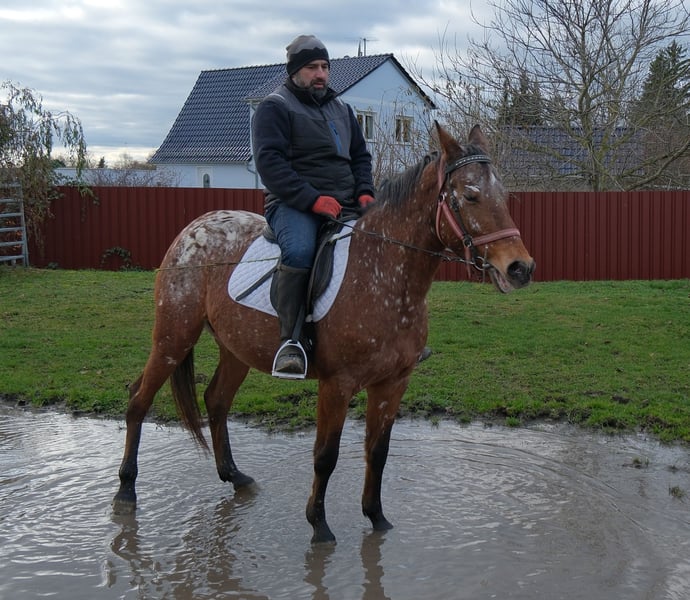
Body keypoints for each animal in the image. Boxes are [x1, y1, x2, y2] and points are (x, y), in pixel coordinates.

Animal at [112, 122, 535, 544]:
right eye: (471, 195)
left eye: (504, 195)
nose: (520, 268)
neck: (382, 273)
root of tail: (192, 230)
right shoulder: (337, 385)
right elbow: (325, 457)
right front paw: (319, 524)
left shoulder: (393, 383)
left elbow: (377, 452)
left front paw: (377, 518)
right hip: (173, 337)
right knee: (138, 400)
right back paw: (126, 490)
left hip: (235, 349)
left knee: (215, 400)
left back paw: (234, 476)